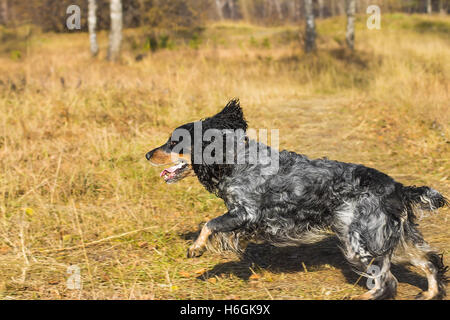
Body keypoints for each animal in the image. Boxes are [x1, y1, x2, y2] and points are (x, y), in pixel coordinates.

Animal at [146, 99, 448, 300]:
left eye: (174, 142)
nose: (148, 154)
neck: (233, 160)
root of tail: (398, 188)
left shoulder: (245, 212)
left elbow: (209, 224)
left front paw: (195, 249)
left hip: (360, 242)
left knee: (387, 282)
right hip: (393, 240)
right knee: (430, 261)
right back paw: (430, 293)